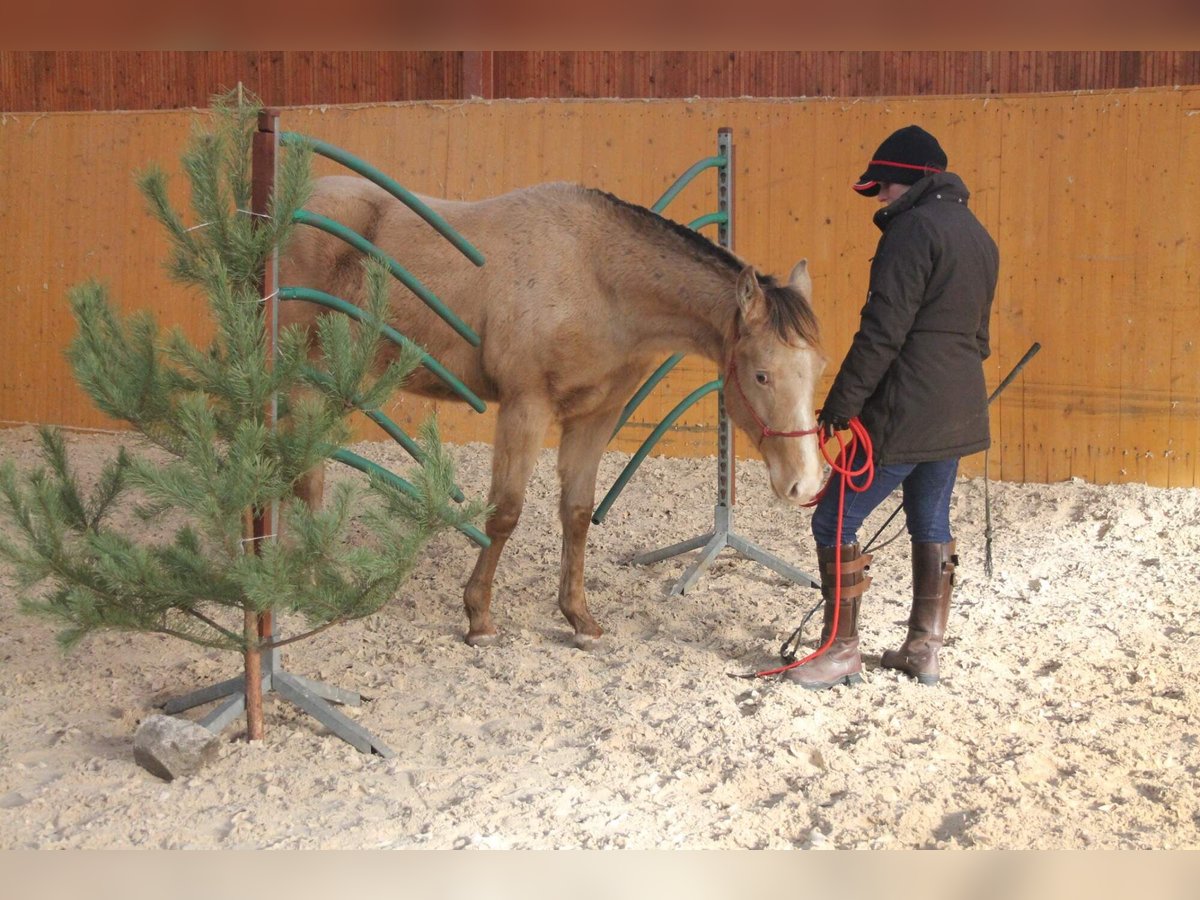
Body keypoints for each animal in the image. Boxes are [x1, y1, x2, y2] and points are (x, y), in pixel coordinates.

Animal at [279, 177, 827, 648]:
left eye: (818, 368)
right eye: (761, 375)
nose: (804, 483)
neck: (598, 277)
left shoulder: (595, 417)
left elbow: (577, 513)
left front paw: (579, 619)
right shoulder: (526, 407)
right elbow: (505, 511)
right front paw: (479, 618)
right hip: (306, 373)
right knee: (308, 475)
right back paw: (308, 584)